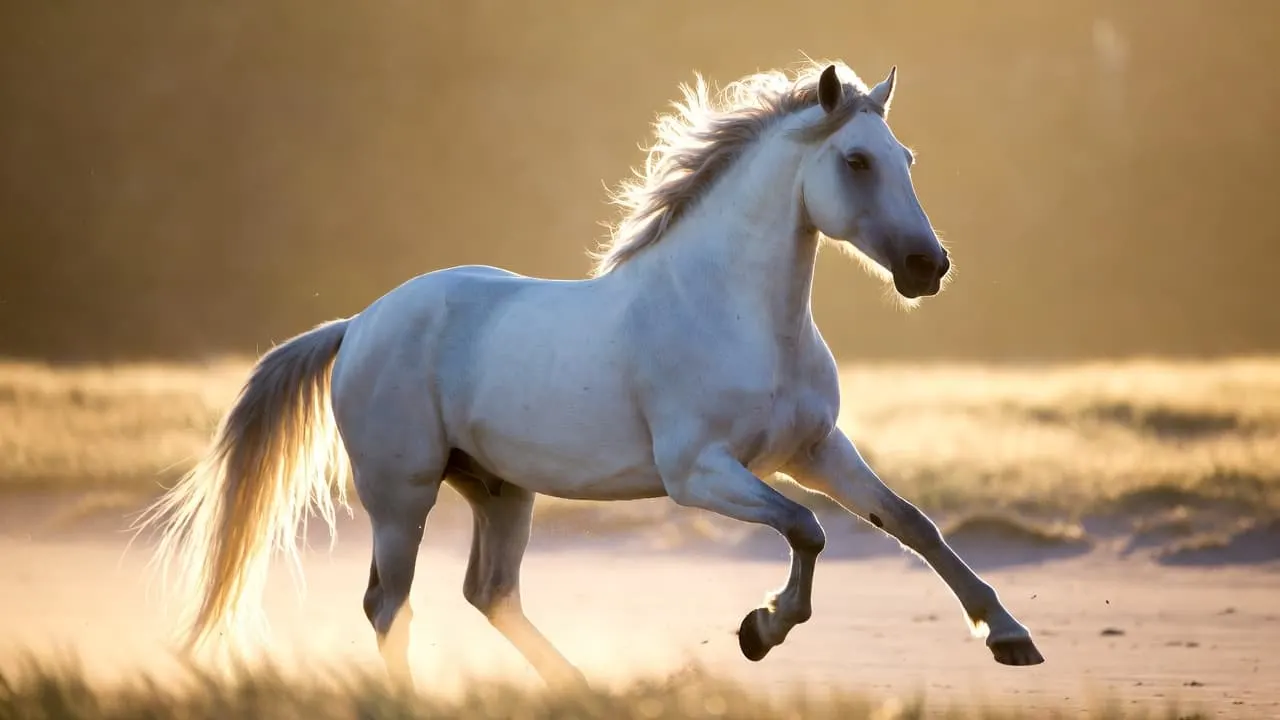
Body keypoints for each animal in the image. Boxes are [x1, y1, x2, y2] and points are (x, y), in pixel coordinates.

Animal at [137, 59, 1044, 688]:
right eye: (856, 160)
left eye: (907, 156)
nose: (928, 267)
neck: (739, 315)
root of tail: (358, 324)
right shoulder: (700, 473)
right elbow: (807, 530)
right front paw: (760, 629)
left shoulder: (814, 451)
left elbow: (911, 523)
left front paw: (1009, 637)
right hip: (402, 494)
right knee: (389, 605)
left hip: (501, 490)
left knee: (488, 592)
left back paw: (580, 689)